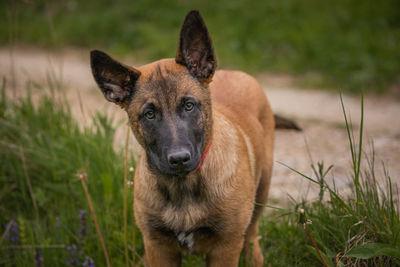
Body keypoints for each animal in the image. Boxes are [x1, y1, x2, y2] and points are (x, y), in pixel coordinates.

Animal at [90, 8, 296, 267]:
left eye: (189, 105)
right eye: (149, 114)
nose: (179, 159)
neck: (183, 188)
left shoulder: (226, 248)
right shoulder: (158, 247)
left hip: (263, 187)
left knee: (251, 233)